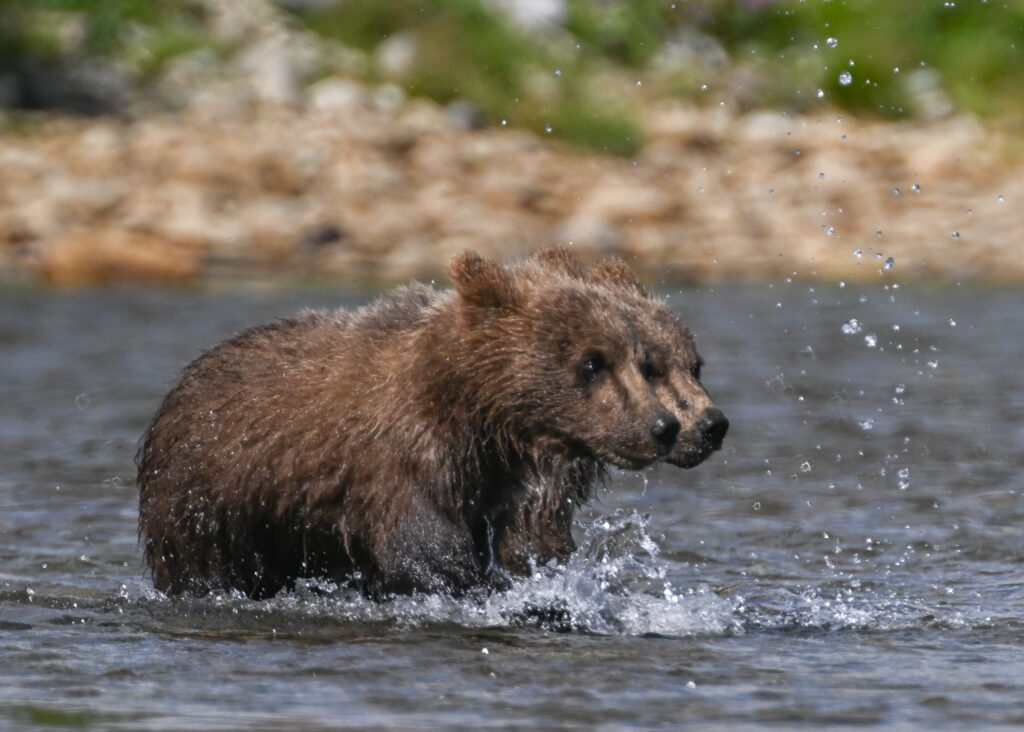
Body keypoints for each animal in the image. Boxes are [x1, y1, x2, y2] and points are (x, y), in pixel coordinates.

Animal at [136, 247, 728, 599]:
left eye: (690, 365)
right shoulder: (404, 457)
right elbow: (426, 551)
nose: (673, 426)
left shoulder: (521, 483)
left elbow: (532, 546)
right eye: (592, 361)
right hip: (209, 498)